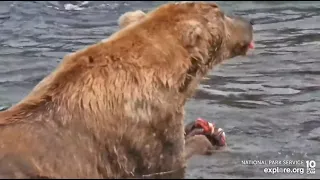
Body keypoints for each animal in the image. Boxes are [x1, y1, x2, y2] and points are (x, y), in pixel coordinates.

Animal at [0, 1, 254, 179]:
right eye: (221, 12)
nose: (249, 23)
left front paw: (199, 128)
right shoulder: (144, 133)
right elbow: (172, 159)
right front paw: (209, 138)